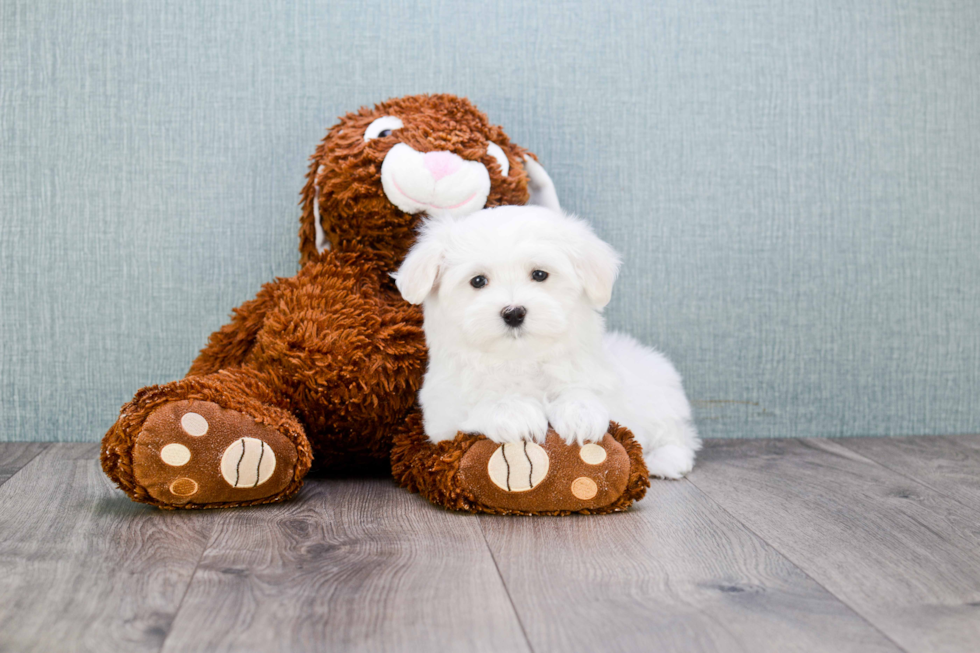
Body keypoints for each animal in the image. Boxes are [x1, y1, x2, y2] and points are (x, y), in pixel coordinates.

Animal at [394, 205, 700, 478]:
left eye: (539, 275)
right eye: (478, 281)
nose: (513, 312)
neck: (521, 358)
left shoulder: (603, 384)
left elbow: (585, 393)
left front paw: (581, 413)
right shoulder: (441, 414)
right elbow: (477, 404)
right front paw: (511, 411)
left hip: (660, 391)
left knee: (677, 431)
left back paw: (667, 460)